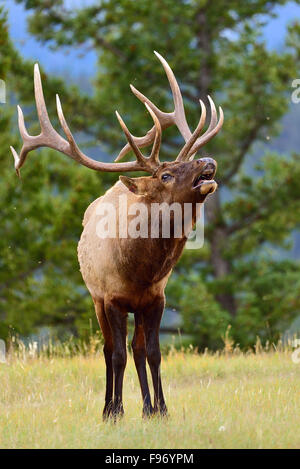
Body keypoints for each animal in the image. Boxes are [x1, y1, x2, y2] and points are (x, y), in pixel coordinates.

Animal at [10, 51, 223, 416]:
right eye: (165, 175)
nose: (207, 160)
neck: (140, 270)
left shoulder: (156, 298)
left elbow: (153, 353)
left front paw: (161, 410)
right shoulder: (111, 298)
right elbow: (118, 354)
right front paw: (116, 411)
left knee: (137, 349)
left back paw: (147, 408)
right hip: (95, 298)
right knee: (110, 350)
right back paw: (110, 407)